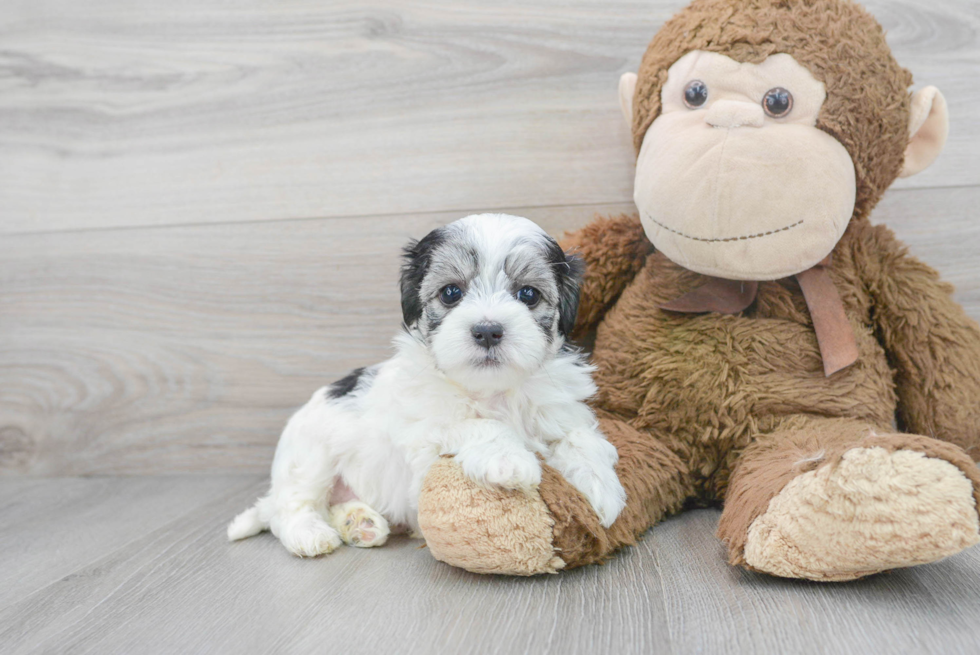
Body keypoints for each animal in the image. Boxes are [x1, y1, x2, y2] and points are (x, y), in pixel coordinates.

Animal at [229, 214, 624, 560]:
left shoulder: (559, 409)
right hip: (310, 455)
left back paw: (360, 522)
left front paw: (601, 489)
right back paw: (309, 535)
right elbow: (478, 425)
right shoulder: (423, 436)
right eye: (451, 293)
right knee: (290, 506)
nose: (487, 330)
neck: (492, 390)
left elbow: (581, 438)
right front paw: (508, 460)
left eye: (528, 294)